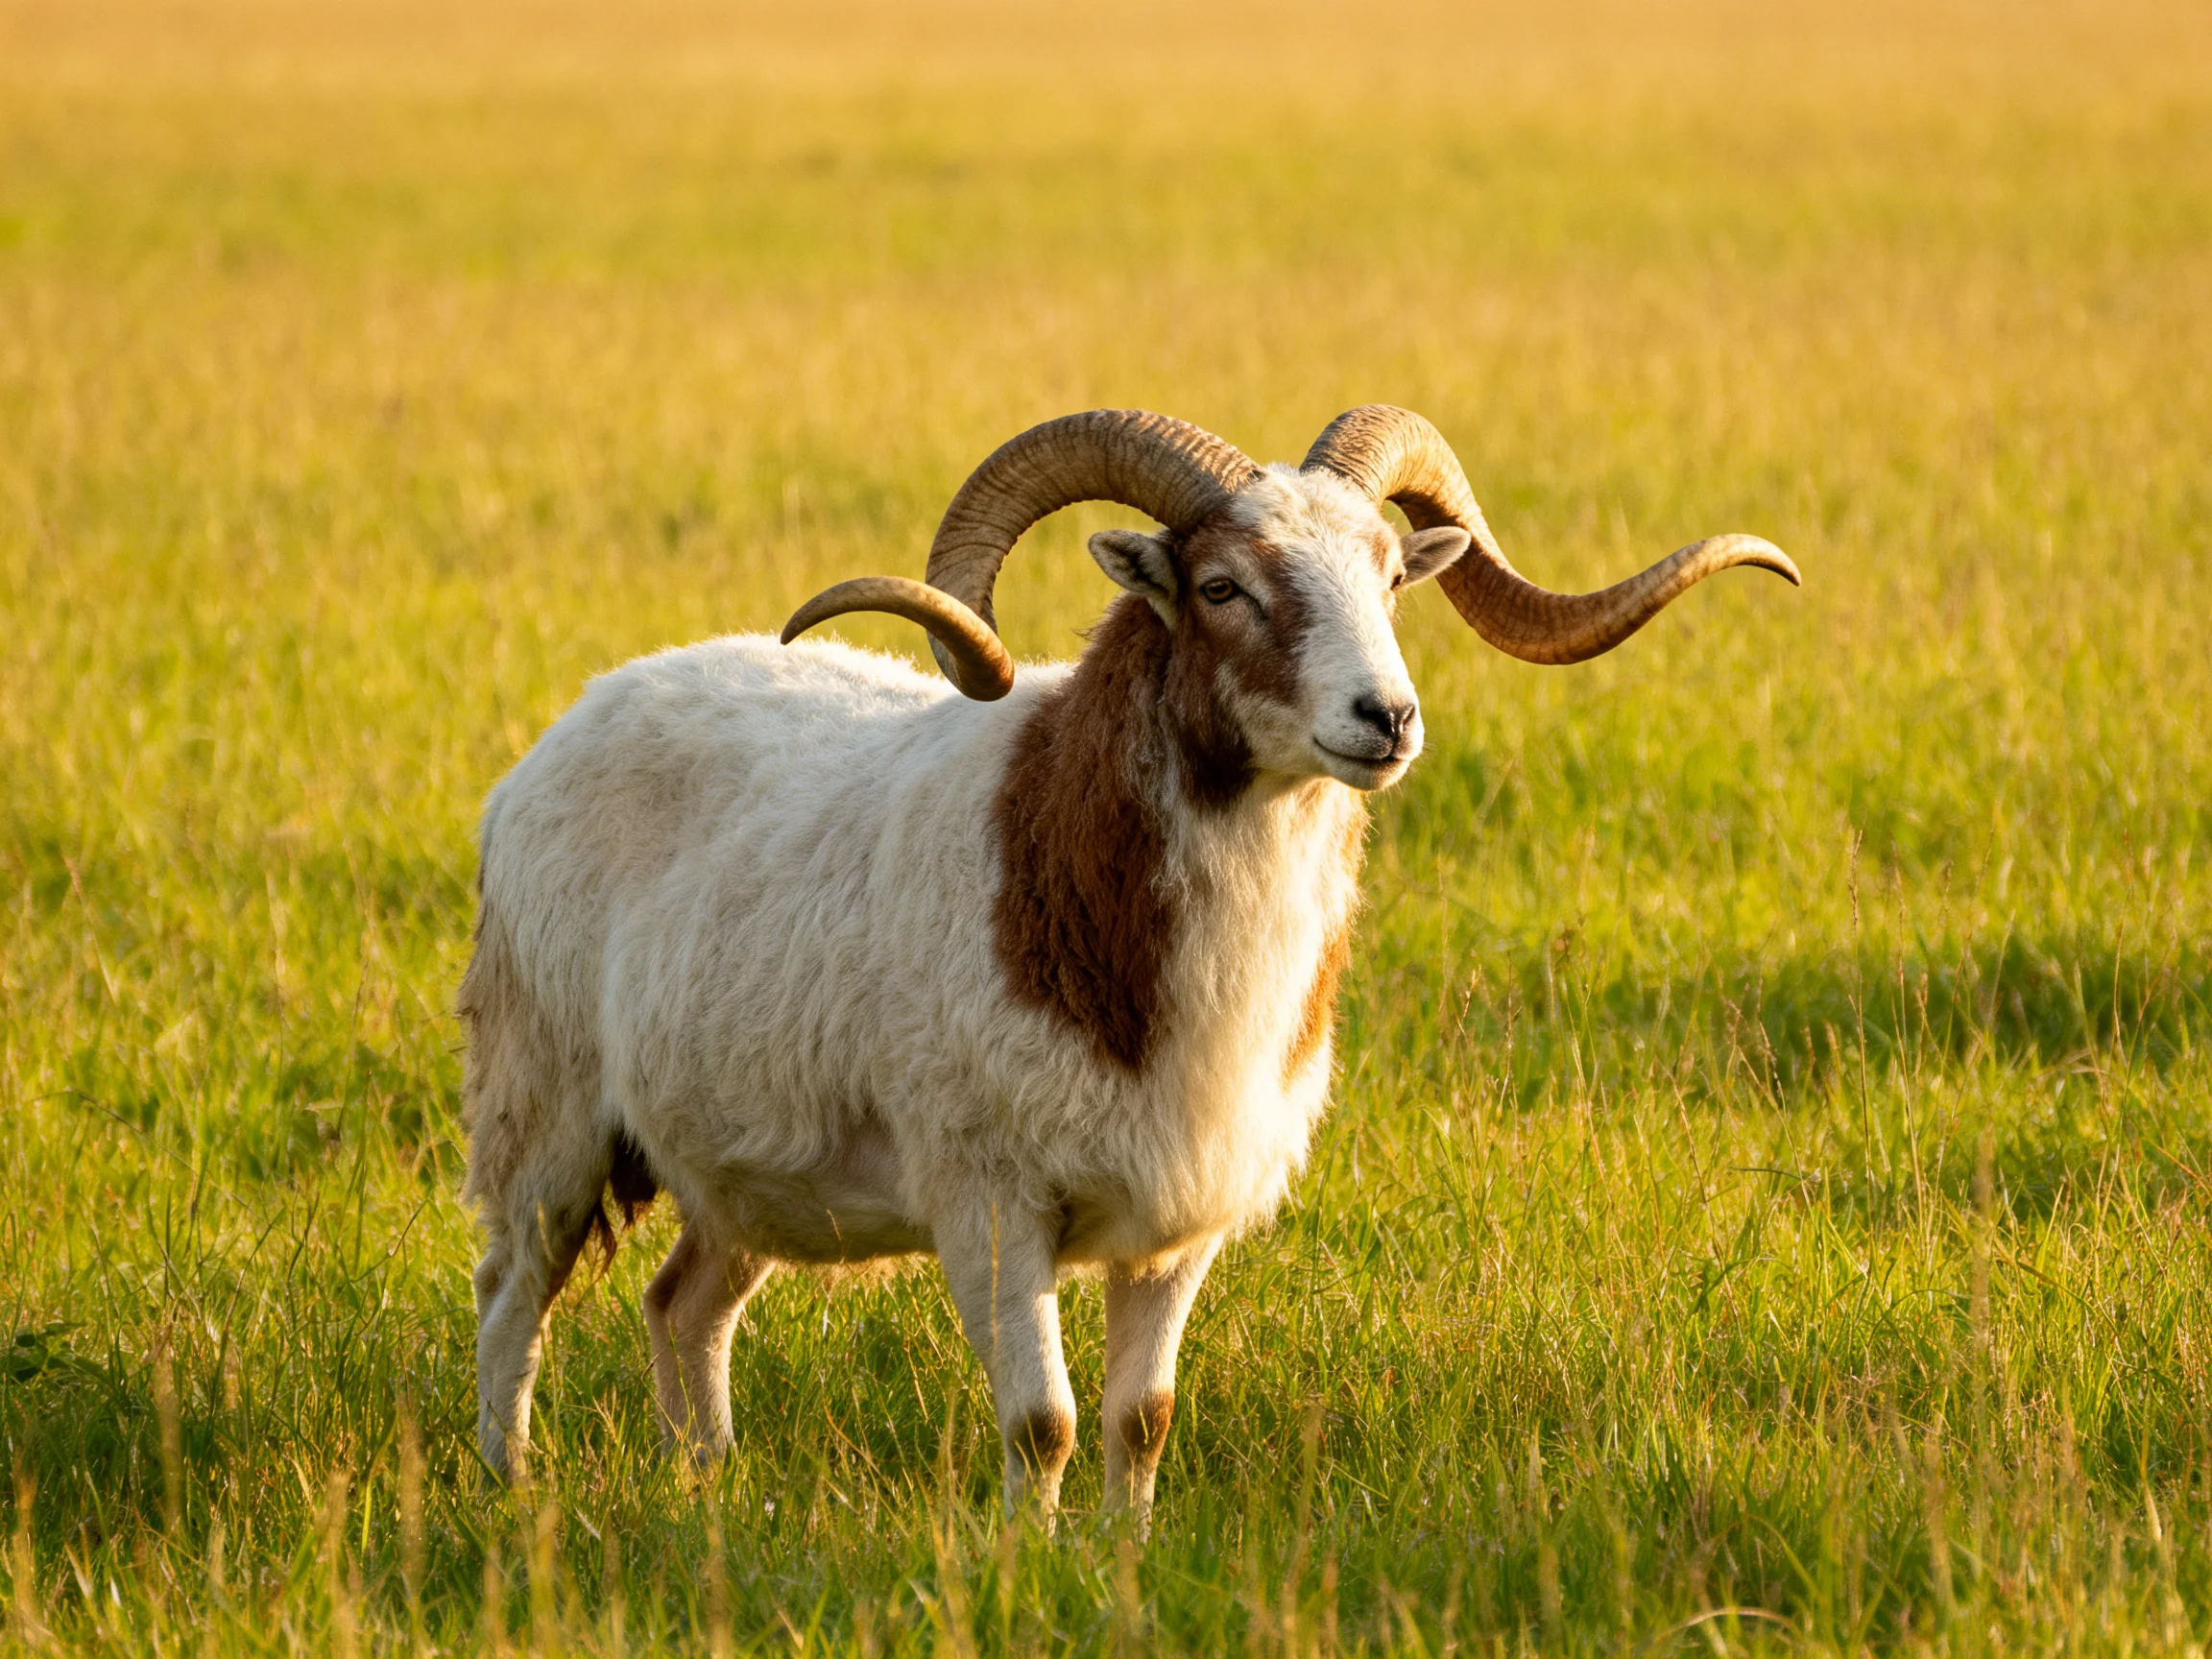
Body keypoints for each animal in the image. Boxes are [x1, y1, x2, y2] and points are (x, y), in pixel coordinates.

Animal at [460, 405, 1797, 1520]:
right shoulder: (991, 1204)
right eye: (1220, 585)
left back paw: (710, 1489)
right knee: (510, 1294)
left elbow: (1139, 1421)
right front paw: (1025, 1563)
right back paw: (510, 1487)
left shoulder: (1177, 1225)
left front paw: (1121, 1559)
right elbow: (1042, 1424)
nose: (1388, 720)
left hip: (738, 1169)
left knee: (681, 1306)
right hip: (545, 1107)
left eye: (1386, 577)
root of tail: (576, 720)